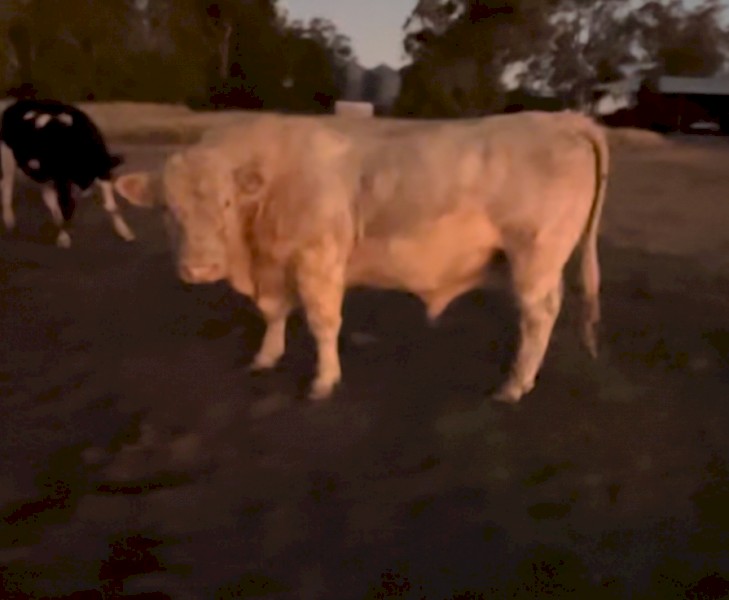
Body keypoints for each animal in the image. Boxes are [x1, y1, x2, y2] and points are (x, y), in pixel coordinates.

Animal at [0, 98, 135, 248]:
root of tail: (14, 103)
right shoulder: (62, 179)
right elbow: (66, 207)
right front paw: (64, 237)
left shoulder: (102, 170)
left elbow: (111, 206)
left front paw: (125, 231)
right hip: (7, 157)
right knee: (6, 187)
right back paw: (9, 221)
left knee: (46, 196)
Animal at [113, 110, 609, 404]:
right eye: (167, 209)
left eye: (227, 203)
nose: (200, 267)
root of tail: (560, 117)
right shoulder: (276, 264)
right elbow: (274, 314)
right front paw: (266, 357)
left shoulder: (318, 259)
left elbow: (322, 323)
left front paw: (323, 381)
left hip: (535, 257)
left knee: (539, 314)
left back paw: (514, 385)